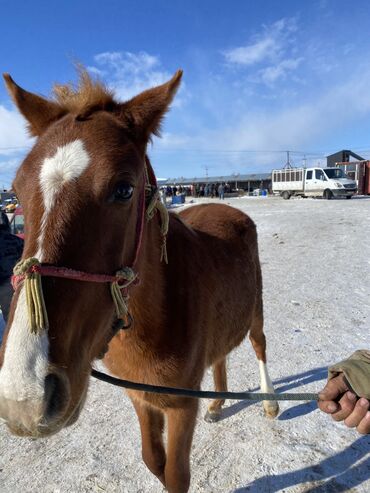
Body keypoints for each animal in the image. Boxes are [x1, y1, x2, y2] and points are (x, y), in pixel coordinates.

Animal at [0, 70, 278, 492]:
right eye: (16, 189)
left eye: (124, 189)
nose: (24, 398)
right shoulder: (141, 396)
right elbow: (152, 460)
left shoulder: (181, 404)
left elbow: (176, 475)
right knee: (221, 355)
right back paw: (216, 404)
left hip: (257, 308)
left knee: (260, 344)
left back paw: (269, 400)